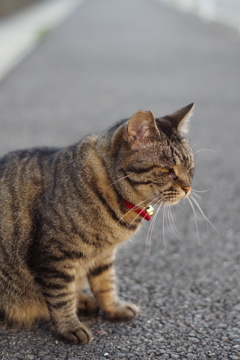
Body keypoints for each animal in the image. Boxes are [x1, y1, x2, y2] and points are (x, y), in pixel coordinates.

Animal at [0, 102, 195, 344]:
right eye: (167, 170)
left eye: (190, 168)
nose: (188, 188)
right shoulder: (53, 257)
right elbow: (61, 297)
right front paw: (70, 327)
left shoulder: (103, 254)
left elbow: (105, 283)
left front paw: (113, 308)